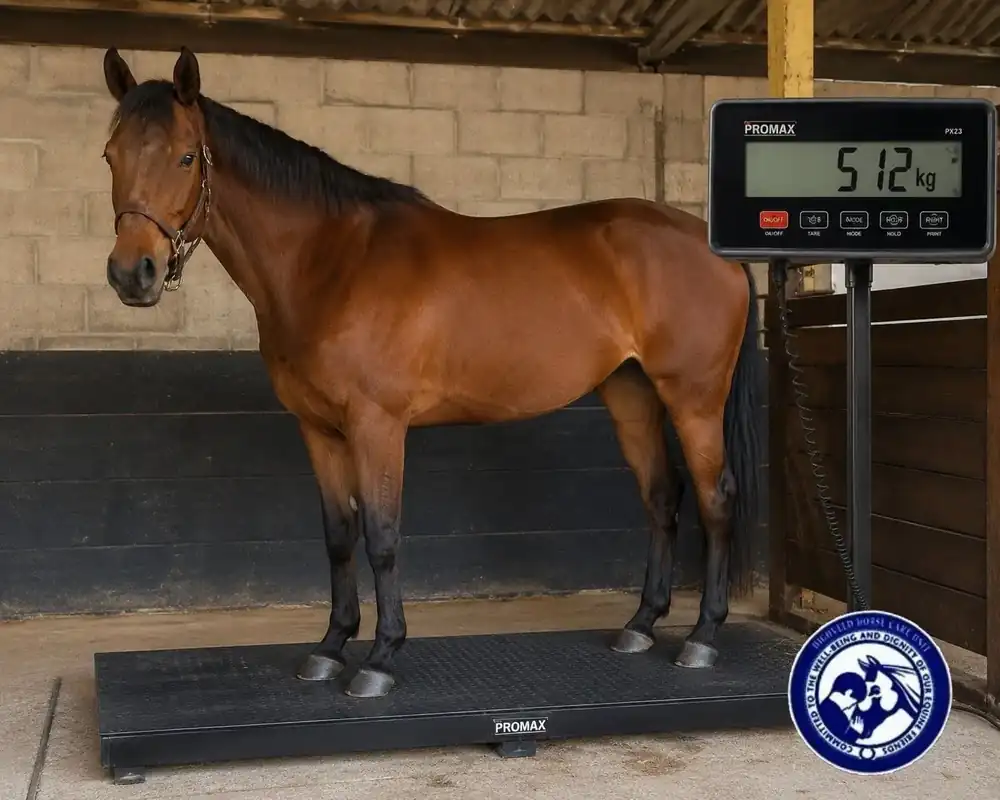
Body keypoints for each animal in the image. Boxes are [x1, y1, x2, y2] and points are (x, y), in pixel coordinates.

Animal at [99, 46, 763, 699]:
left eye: (186, 156)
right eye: (110, 155)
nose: (133, 273)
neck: (331, 262)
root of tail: (712, 246)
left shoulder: (378, 425)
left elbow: (382, 536)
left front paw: (380, 658)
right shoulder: (318, 429)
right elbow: (339, 535)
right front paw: (330, 647)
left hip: (694, 400)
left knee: (716, 499)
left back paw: (703, 637)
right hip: (631, 394)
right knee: (661, 495)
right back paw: (642, 625)